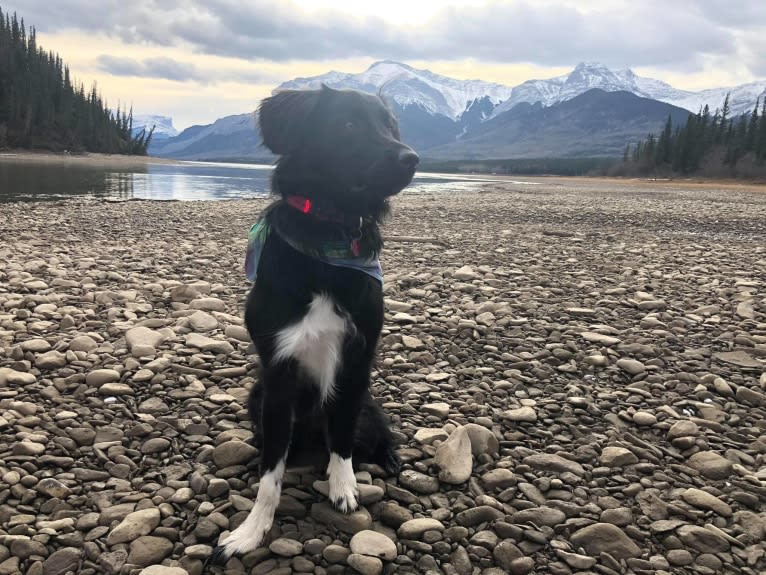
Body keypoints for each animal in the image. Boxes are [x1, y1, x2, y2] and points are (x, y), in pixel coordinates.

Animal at [212, 85, 420, 564]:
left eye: (389, 125)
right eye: (348, 123)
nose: (412, 158)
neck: (330, 236)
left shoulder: (356, 363)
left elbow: (340, 439)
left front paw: (344, 489)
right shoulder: (278, 374)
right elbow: (271, 474)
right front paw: (251, 530)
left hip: (370, 408)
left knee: (376, 436)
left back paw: (390, 460)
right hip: (256, 396)